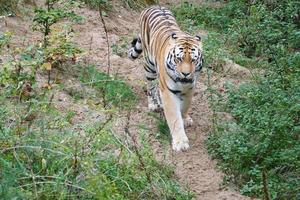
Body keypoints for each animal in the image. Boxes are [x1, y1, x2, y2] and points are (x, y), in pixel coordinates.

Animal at [127, 5, 203, 152]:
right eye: (179, 59)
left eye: (193, 60)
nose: (186, 74)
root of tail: (152, 6)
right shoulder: (168, 92)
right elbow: (174, 117)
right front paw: (180, 143)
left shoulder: (190, 88)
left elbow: (185, 106)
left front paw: (185, 119)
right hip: (149, 65)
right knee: (151, 85)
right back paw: (154, 105)